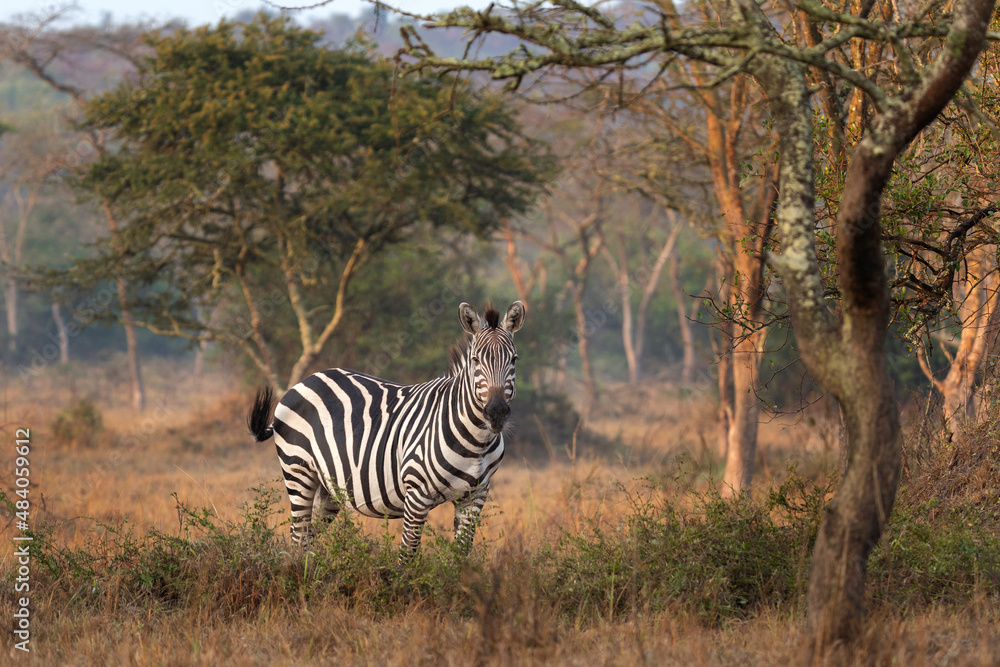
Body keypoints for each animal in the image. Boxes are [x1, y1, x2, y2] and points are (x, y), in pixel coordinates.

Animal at [247, 300, 525, 562]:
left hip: (327, 487)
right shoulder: (417, 493)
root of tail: (303, 382)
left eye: (514, 360)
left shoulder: (475, 496)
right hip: (299, 471)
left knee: (306, 540)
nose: (496, 412)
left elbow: (460, 556)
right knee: (298, 539)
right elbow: (407, 557)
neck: (477, 442)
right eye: (475, 360)